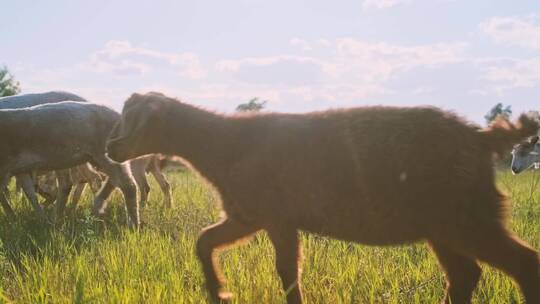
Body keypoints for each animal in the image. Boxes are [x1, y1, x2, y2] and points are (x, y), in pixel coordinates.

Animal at [1, 101, 139, 226]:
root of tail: (119, 116)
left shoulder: (6, 167)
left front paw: (12, 218)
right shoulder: (19, 169)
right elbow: (29, 193)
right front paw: (39, 220)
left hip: (106, 154)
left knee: (128, 186)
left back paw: (133, 225)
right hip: (97, 158)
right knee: (109, 182)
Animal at [105, 92, 540, 304]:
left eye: (134, 119)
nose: (110, 148)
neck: (224, 144)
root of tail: (481, 138)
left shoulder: (276, 216)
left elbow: (286, 272)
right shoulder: (249, 214)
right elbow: (204, 241)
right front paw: (218, 292)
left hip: (468, 217)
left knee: (524, 265)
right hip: (445, 225)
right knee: (465, 276)